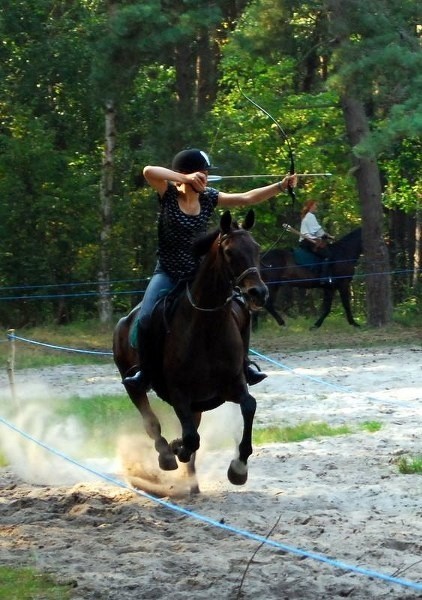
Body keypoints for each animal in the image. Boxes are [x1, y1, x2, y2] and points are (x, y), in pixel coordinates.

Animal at [113, 209, 268, 494]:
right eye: (229, 252)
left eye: (257, 248)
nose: (258, 292)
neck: (206, 326)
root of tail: (123, 323)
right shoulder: (179, 393)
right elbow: (190, 437)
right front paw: (176, 448)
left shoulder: (232, 385)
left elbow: (249, 406)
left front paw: (239, 468)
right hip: (133, 385)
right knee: (151, 422)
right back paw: (167, 455)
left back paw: (192, 482)